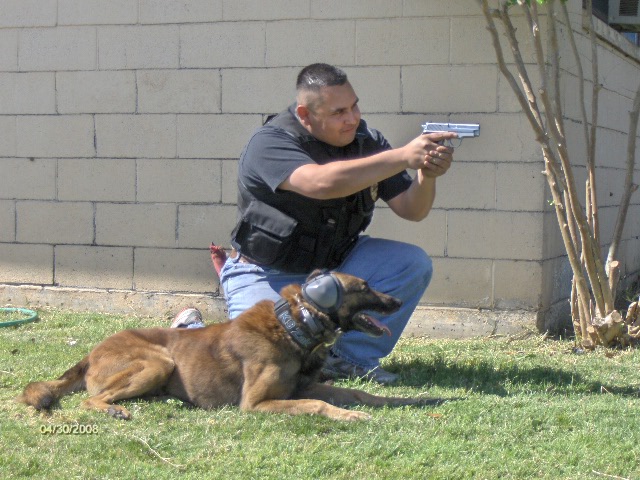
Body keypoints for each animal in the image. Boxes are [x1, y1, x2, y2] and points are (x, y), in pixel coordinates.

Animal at [17, 272, 442, 422]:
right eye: (364, 287)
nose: (395, 302)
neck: (294, 328)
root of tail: (91, 352)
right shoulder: (256, 403)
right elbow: (319, 404)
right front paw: (349, 416)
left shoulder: (305, 386)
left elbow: (360, 393)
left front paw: (420, 400)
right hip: (158, 361)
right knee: (91, 399)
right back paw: (114, 410)